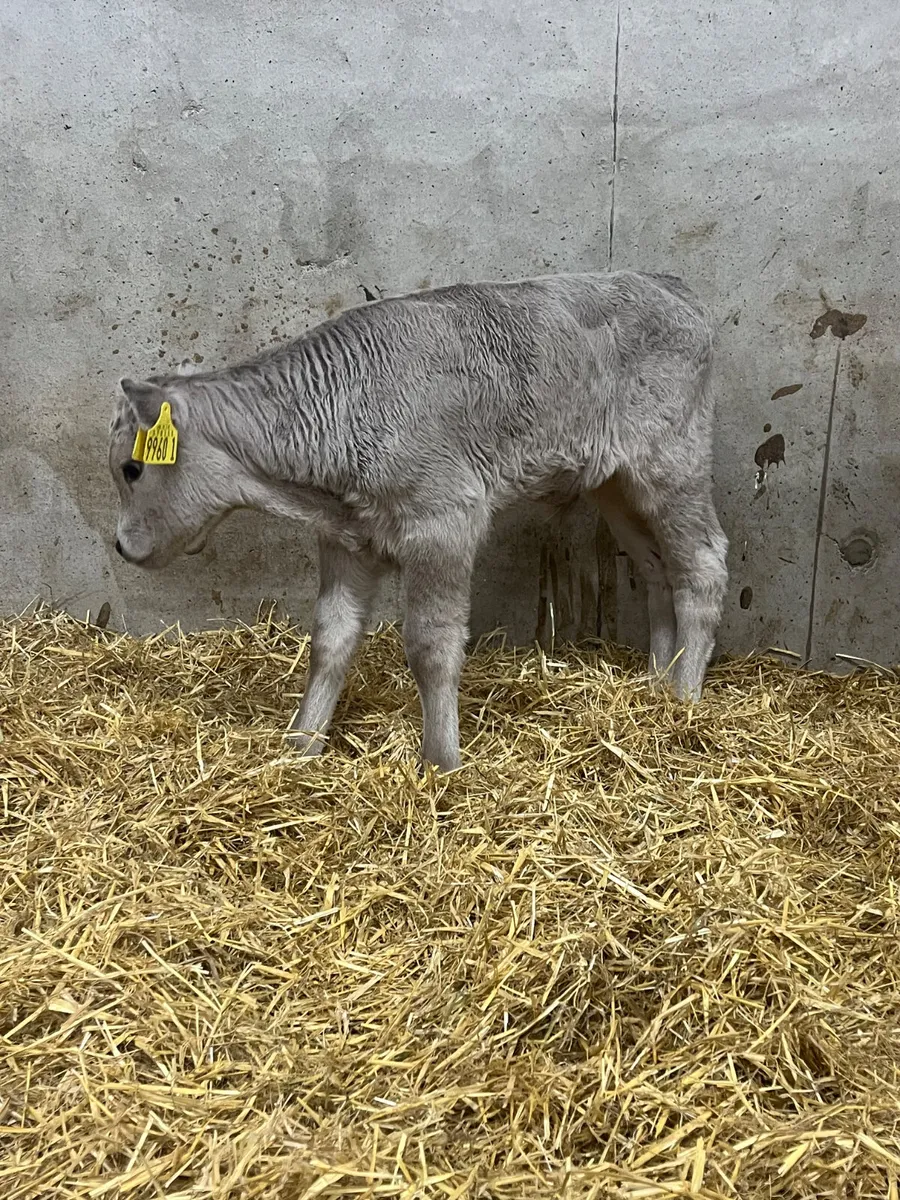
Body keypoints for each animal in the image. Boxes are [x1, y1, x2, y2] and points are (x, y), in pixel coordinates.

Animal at [109, 270, 729, 772]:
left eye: (132, 468)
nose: (119, 547)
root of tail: (672, 285)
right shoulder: (346, 538)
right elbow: (330, 637)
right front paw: (302, 745)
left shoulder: (445, 519)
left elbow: (431, 644)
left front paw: (441, 761)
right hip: (616, 486)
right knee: (657, 568)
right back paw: (657, 684)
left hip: (671, 466)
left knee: (703, 565)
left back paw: (684, 701)